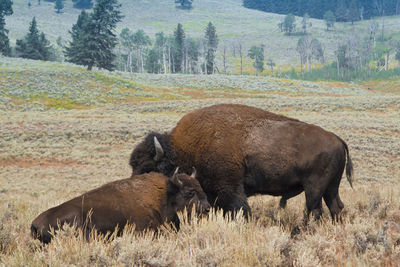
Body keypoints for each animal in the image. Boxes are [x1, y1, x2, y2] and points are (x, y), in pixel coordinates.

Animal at [130, 103, 354, 221]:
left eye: (149, 168)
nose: (138, 191)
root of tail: (337, 138)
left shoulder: (230, 189)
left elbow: (241, 210)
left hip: (314, 188)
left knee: (314, 210)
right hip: (330, 187)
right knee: (335, 207)